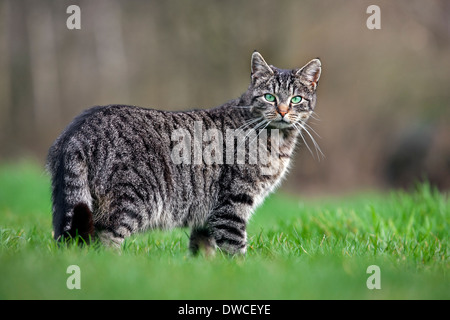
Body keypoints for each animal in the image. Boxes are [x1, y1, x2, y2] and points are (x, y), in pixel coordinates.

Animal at [46, 50, 320, 255]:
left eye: (296, 99)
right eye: (269, 97)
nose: (283, 111)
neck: (277, 140)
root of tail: (77, 130)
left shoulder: (208, 215)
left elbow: (203, 250)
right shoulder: (232, 205)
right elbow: (235, 248)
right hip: (130, 200)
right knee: (104, 242)